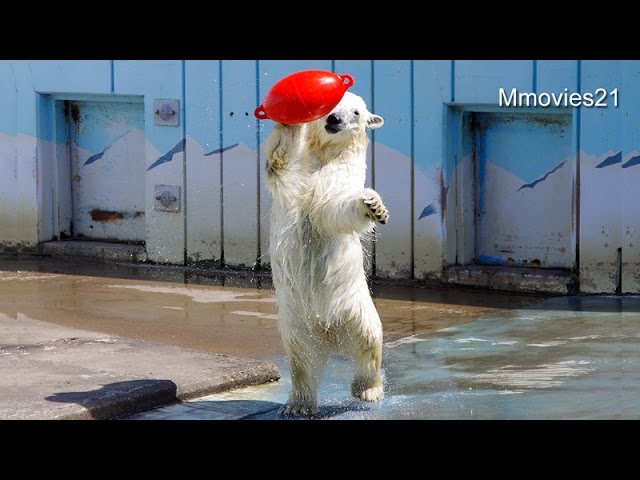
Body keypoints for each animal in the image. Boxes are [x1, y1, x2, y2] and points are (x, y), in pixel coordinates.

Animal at [264, 91, 388, 416]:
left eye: (356, 112)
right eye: (331, 105)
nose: (335, 119)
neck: (324, 153)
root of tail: (329, 336)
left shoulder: (340, 176)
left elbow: (334, 208)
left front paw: (373, 205)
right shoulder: (296, 172)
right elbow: (280, 162)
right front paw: (289, 120)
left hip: (355, 307)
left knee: (369, 340)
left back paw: (369, 389)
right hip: (294, 324)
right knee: (301, 359)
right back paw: (298, 405)